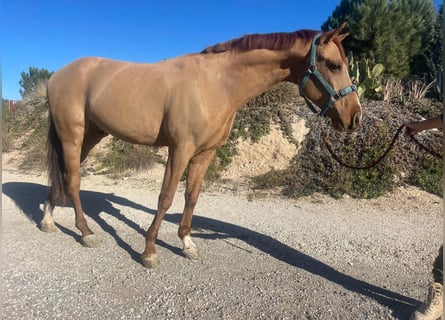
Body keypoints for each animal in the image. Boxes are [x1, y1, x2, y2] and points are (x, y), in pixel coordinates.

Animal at [41, 23, 360, 268]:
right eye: (334, 65)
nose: (354, 118)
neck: (216, 84)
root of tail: (58, 75)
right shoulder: (180, 149)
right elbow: (166, 198)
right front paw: (149, 251)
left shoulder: (205, 153)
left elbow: (191, 197)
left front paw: (187, 244)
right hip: (72, 135)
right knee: (73, 181)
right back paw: (85, 232)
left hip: (90, 136)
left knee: (62, 176)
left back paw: (48, 219)